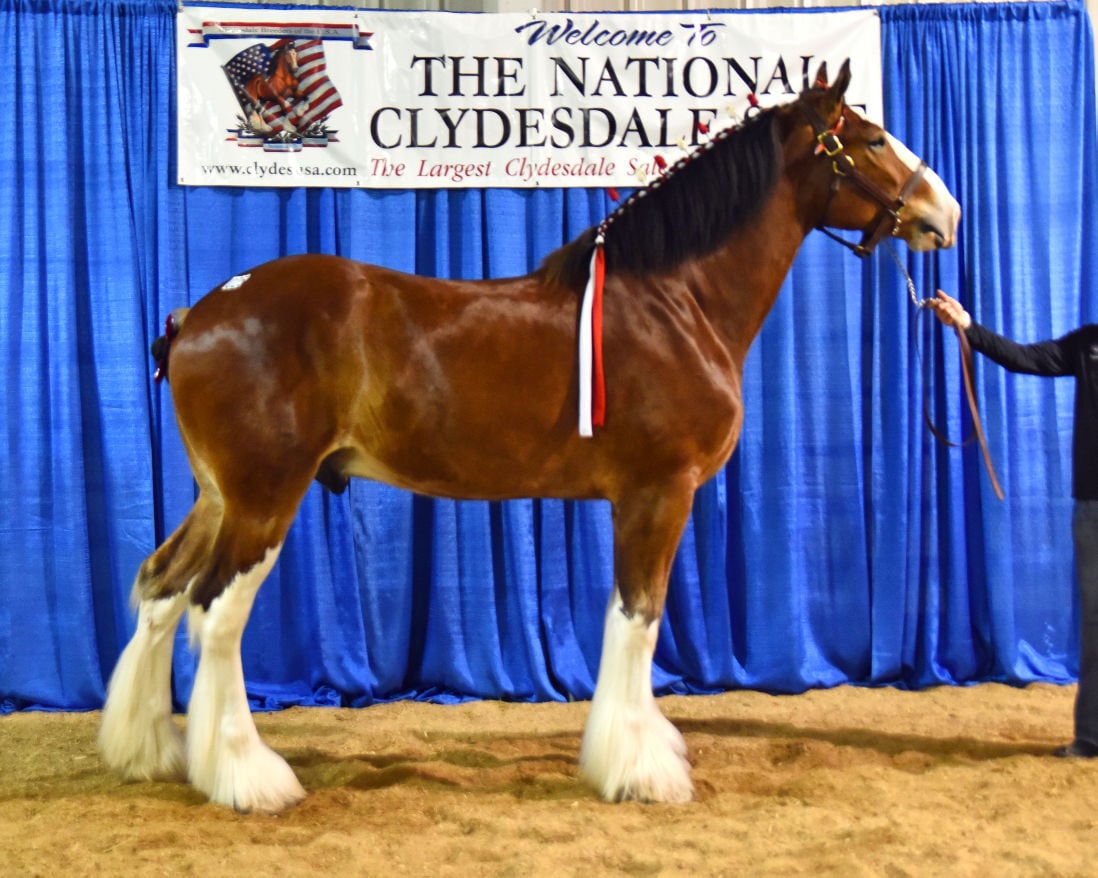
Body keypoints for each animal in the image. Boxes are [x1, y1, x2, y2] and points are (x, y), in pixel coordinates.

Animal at [98, 63, 957, 816]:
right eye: (870, 138)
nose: (943, 214)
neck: (674, 301)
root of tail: (201, 313)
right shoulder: (658, 493)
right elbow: (638, 619)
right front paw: (640, 770)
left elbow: (630, 619)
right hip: (264, 496)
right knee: (214, 612)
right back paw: (247, 779)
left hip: (219, 496)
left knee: (161, 588)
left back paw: (148, 752)